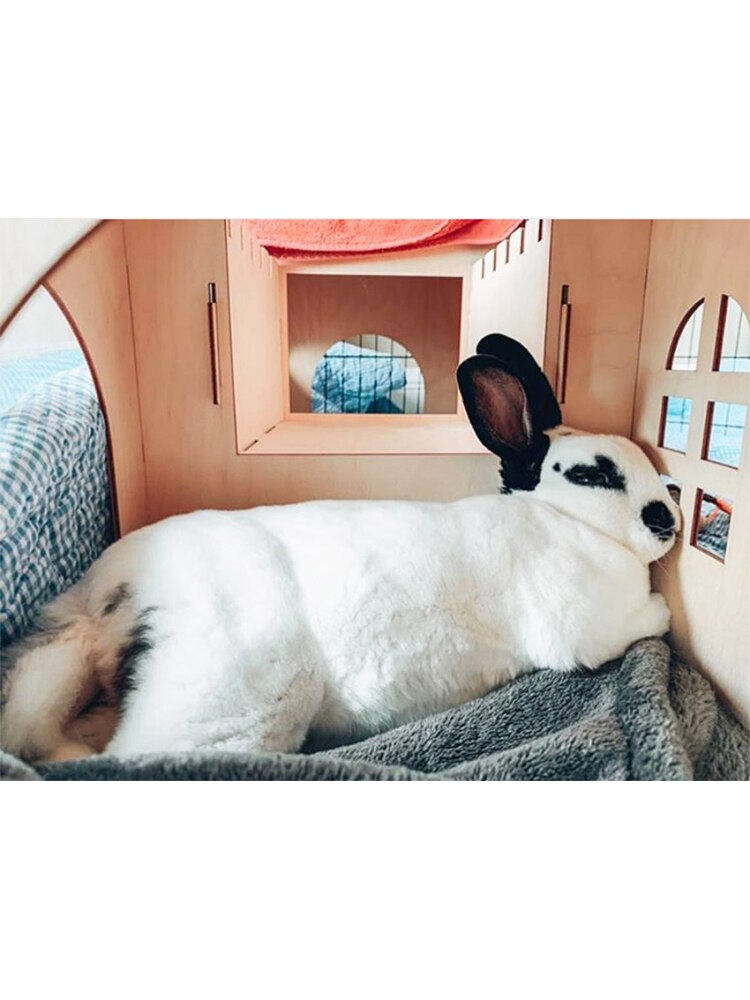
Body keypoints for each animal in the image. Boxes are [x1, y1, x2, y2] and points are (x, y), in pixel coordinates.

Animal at [0, 334, 681, 764]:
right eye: (592, 475)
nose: (668, 517)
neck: (564, 520)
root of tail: (104, 600)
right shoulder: (584, 628)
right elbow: (645, 622)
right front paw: (666, 613)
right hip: (237, 701)